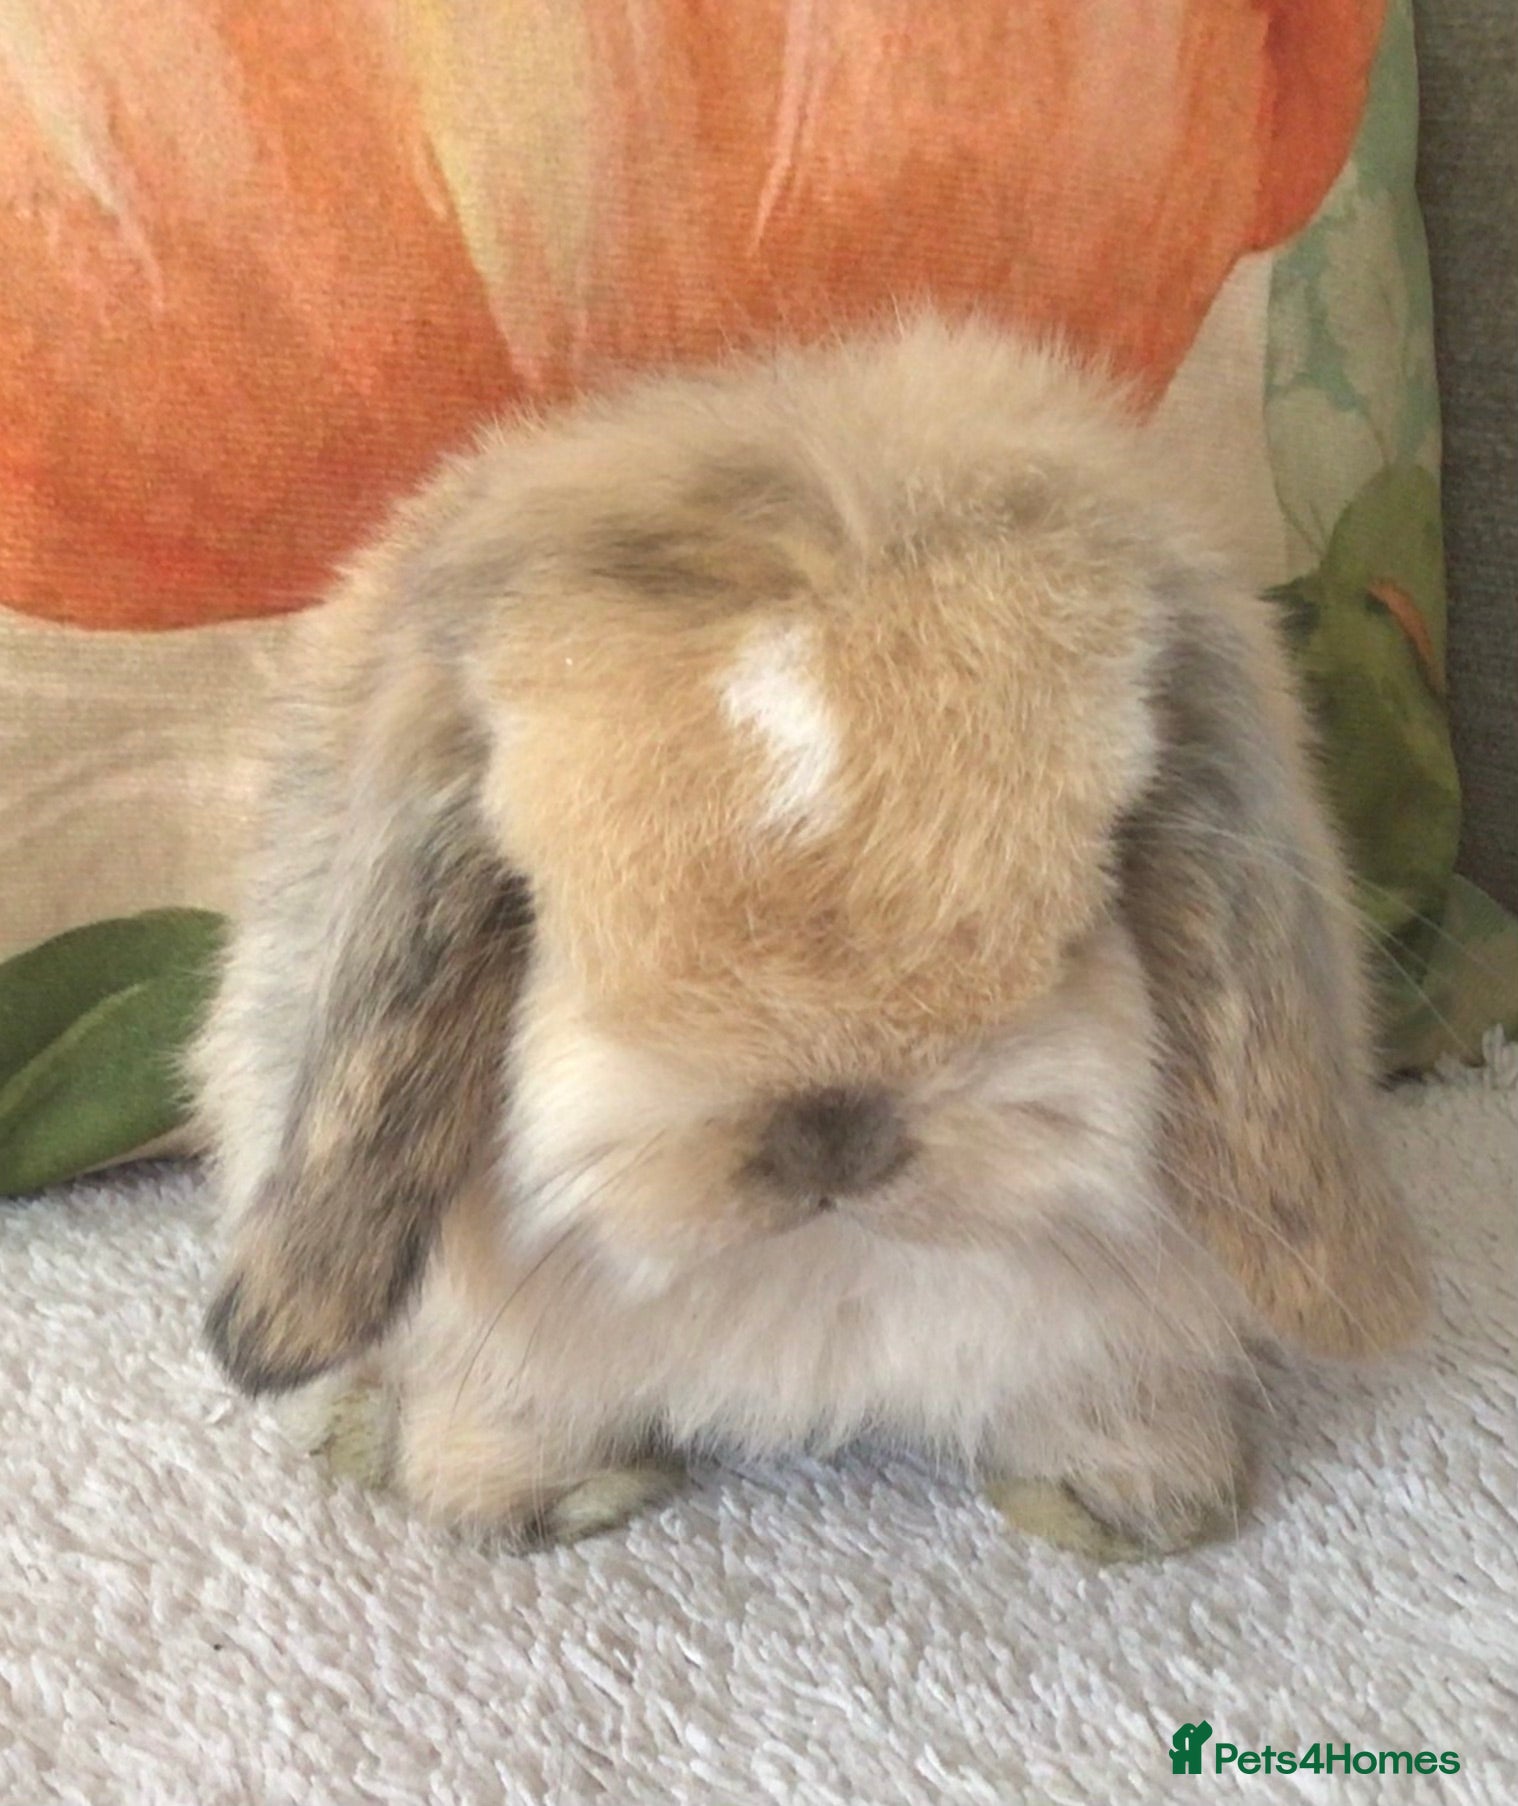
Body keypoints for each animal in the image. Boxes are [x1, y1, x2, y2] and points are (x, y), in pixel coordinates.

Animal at [193, 315, 1428, 1560]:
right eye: (547, 909)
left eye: (1088, 891)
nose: (831, 1133)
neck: (822, 1267)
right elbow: (509, 1407)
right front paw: (509, 1500)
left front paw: (1135, 1497)